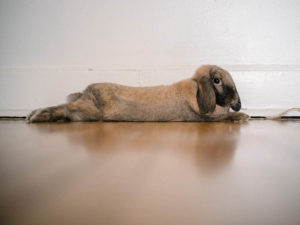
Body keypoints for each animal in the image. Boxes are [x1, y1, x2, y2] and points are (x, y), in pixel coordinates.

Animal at [27, 65, 248, 122]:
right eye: (217, 81)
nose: (235, 101)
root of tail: (85, 92)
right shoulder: (203, 118)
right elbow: (225, 117)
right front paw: (243, 116)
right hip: (89, 110)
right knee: (64, 107)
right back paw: (36, 115)